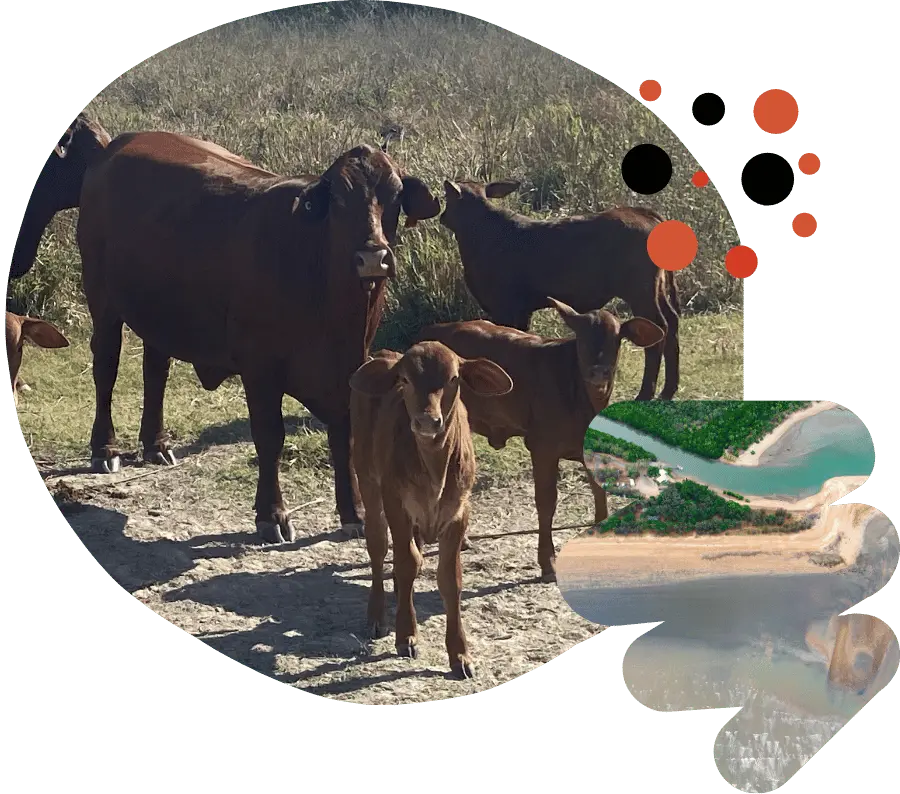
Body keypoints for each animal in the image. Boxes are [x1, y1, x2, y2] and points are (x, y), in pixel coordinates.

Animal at [10, 119, 441, 543]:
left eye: (395, 197)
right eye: (337, 199)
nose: (373, 256)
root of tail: (113, 147)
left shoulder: (349, 367)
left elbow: (345, 436)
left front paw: (354, 512)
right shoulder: (260, 367)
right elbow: (269, 437)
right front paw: (272, 514)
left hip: (161, 312)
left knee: (155, 371)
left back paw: (156, 444)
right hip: (103, 300)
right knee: (106, 368)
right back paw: (105, 448)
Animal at [349, 342, 513, 679]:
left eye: (453, 378)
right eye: (404, 379)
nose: (427, 421)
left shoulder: (459, 512)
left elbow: (450, 579)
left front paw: (460, 654)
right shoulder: (396, 503)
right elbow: (407, 561)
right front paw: (406, 635)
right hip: (368, 480)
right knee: (378, 546)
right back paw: (377, 614)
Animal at [419, 298, 664, 583]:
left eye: (616, 338)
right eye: (582, 337)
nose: (599, 372)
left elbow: (599, 491)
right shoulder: (543, 448)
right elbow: (546, 503)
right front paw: (548, 562)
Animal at [438, 178, 680, 401]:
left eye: (447, 197)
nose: (442, 216)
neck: (481, 234)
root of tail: (646, 215)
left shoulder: (505, 306)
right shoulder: (522, 310)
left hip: (640, 292)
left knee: (659, 328)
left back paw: (645, 394)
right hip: (657, 290)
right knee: (672, 322)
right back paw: (668, 391)